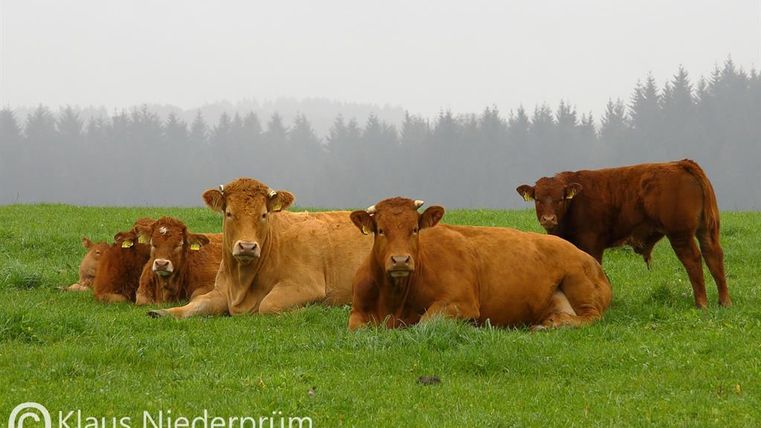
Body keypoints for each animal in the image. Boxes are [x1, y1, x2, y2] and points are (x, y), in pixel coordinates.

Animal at [148, 178, 373, 318]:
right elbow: (197, 304)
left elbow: (268, 304)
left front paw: (315, 309)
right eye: (229, 213)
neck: (242, 283)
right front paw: (164, 312)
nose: (247, 247)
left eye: (264, 214)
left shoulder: (305, 285)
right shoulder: (220, 291)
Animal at [347, 197, 612, 330]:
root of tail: (589, 258)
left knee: (592, 316)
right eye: (380, 230)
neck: (394, 303)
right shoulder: (357, 311)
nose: (401, 260)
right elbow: (357, 328)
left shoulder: (461, 302)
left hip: (579, 281)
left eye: (414, 229)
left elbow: (424, 323)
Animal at [516, 159, 730, 308]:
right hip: (707, 230)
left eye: (560, 199)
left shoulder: (591, 242)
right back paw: (724, 301)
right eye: (538, 199)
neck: (575, 203)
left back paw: (701, 303)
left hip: (680, 234)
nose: (548, 219)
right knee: (714, 256)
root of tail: (680, 163)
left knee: (693, 260)